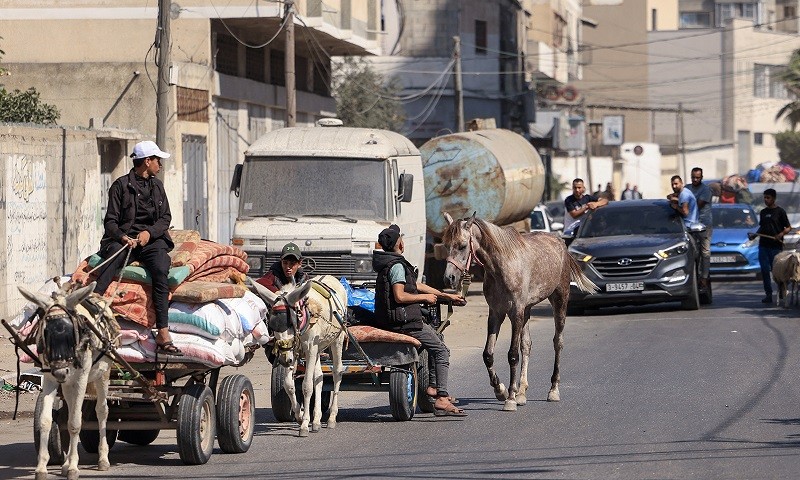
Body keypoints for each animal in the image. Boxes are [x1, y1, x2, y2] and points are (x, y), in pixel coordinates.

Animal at [18, 280, 119, 480]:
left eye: (73, 332)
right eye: (45, 331)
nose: (61, 371)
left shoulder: (81, 378)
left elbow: (75, 423)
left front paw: (73, 467)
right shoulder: (50, 377)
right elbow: (46, 421)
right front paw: (42, 468)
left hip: (102, 373)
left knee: (101, 411)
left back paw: (102, 459)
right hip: (67, 385)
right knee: (71, 410)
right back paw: (64, 464)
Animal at [247, 274, 346, 436]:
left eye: (289, 322)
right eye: (271, 324)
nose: (283, 359)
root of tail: (331, 276)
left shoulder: (310, 348)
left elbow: (306, 386)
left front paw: (304, 424)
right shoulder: (295, 350)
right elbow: (289, 385)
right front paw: (299, 416)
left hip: (337, 339)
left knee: (337, 372)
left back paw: (331, 417)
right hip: (318, 348)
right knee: (319, 377)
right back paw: (317, 420)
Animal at [440, 215, 596, 412]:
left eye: (462, 246)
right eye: (446, 245)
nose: (449, 278)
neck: (502, 266)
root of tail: (560, 243)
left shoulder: (516, 313)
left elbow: (512, 355)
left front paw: (510, 399)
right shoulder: (496, 314)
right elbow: (488, 354)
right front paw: (501, 390)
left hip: (559, 301)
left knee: (557, 343)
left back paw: (553, 390)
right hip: (527, 311)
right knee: (527, 345)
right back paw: (522, 392)